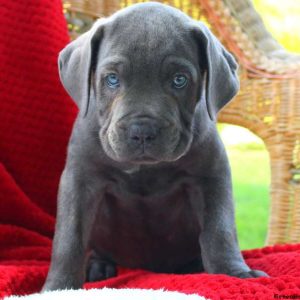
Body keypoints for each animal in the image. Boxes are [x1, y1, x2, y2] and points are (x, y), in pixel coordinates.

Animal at [42, 2, 268, 292]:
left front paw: (234, 273)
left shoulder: (211, 176)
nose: (142, 131)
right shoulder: (80, 179)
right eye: (112, 79)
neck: (145, 169)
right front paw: (58, 286)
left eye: (179, 80)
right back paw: (98, 266)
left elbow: (220, 230)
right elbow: (69, 237)